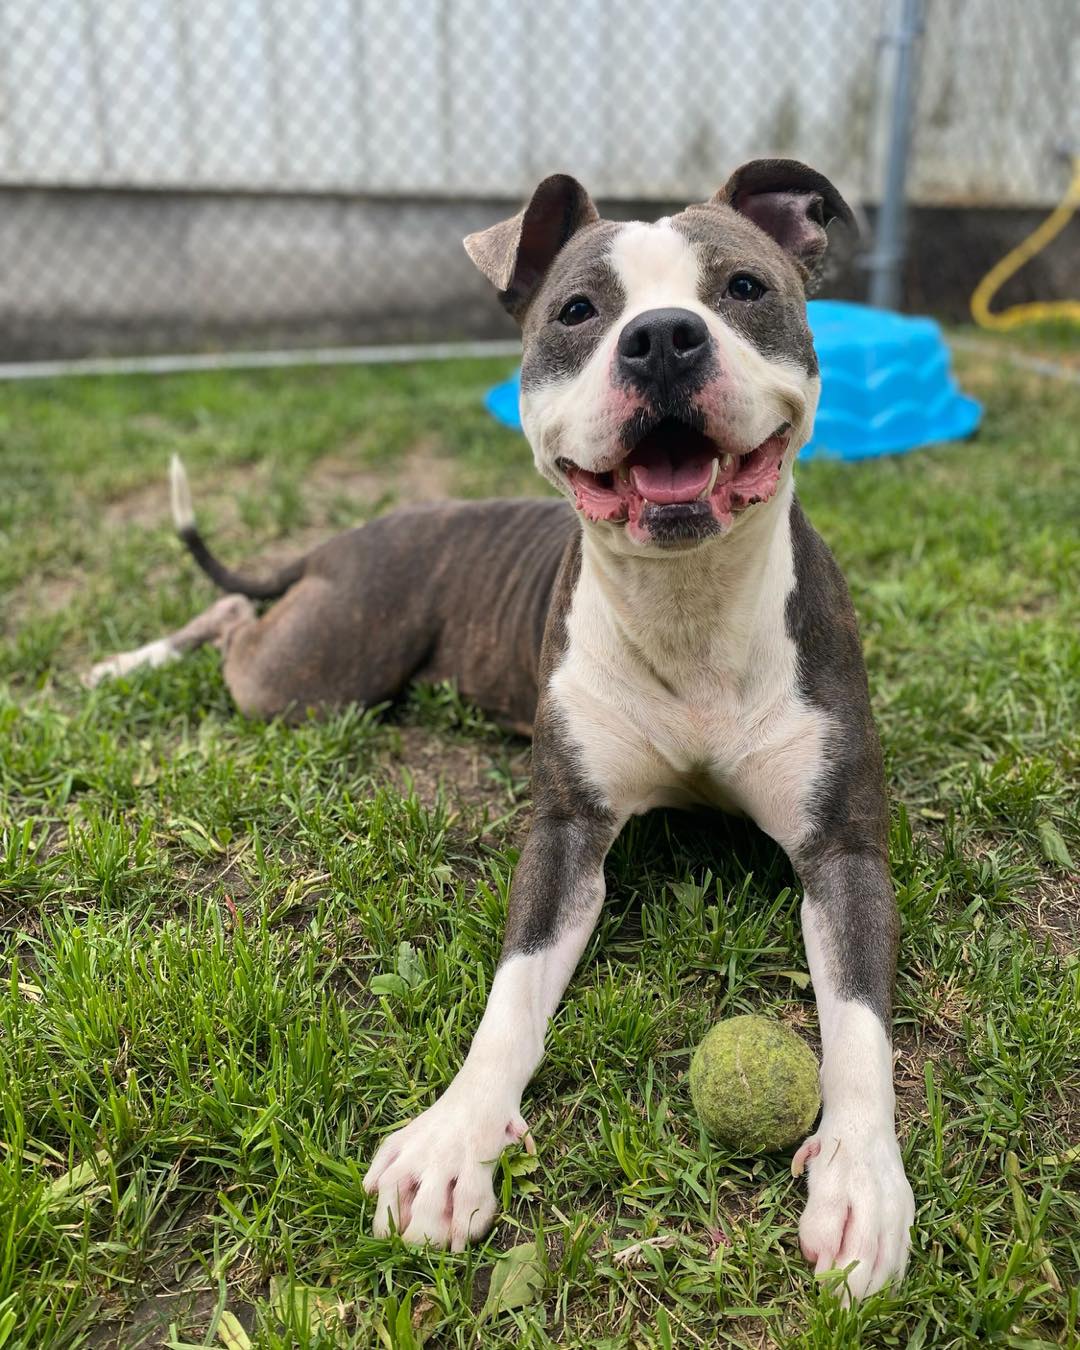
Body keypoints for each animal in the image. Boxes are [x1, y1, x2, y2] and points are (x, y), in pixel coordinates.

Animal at [93, 160, 918, 1306]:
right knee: (230, 623)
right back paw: (121, 664)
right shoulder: (565, 837)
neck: (691, 607)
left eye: (745, 288)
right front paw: (455, 1141)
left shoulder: (844, 852)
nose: (665, 338)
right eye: (577, 311)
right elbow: (514, 991)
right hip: (315, 676)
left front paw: (861, 1181)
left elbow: (859, 1024)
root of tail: (351, 536)